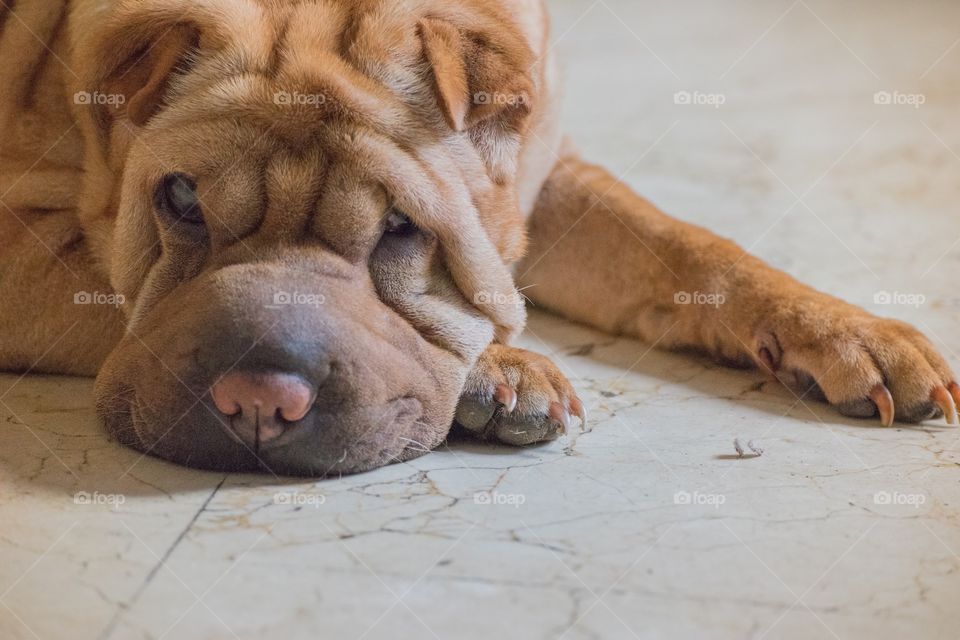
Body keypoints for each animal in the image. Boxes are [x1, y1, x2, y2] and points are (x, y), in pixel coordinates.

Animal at [1, 0, 960, 476]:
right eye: (181, 201)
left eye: (401, 229)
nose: (260, 403)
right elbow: (107, 295)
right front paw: (501, 368)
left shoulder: (549, 179)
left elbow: (685, 246)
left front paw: (848, 332)